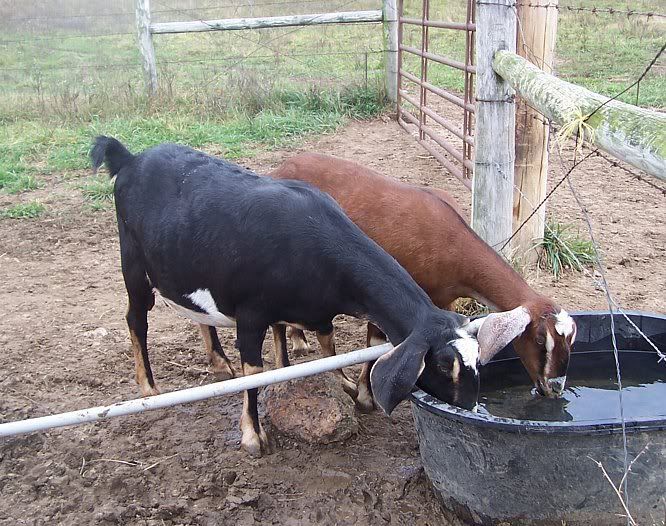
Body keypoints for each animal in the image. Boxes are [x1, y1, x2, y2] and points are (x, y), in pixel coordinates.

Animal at [91, 137, 529, 457]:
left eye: (477, 359)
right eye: (441, 364)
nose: (469, 408)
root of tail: (130, 158)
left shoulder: (305, 312)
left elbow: (319, 348)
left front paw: (342, 386)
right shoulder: (251, 315)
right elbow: (258, 374)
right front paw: (253, 436)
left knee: (196, 310)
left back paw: (218, 362)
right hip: (133, 263)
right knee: (136, 319)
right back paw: (148, 389)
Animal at [269, 153, 575, 412]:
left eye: (570, 339)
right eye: (540, 340)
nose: (555, 388)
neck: (450, 242)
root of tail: (282, 166)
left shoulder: (444, 300)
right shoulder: (385, 298)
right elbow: (375, 343)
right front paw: (366, 398)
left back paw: (299, 339)